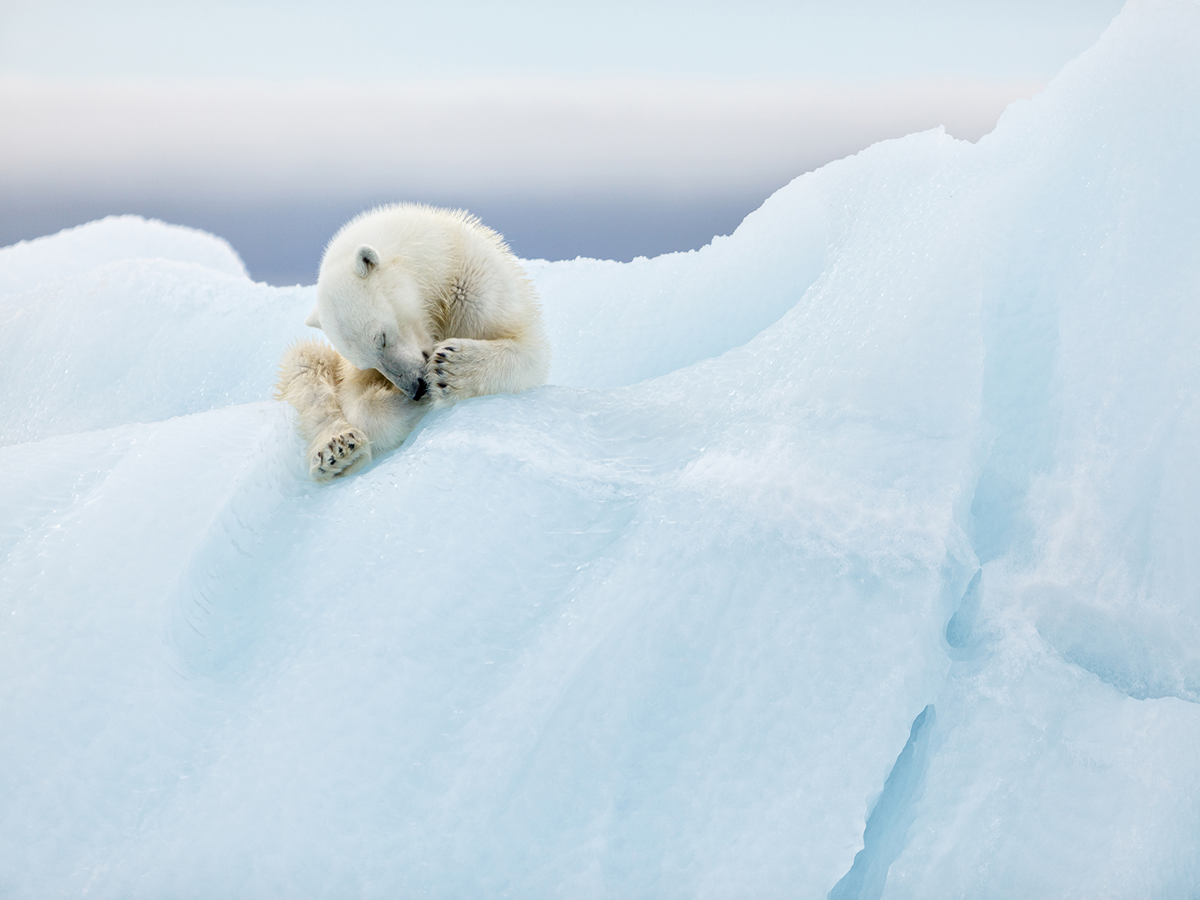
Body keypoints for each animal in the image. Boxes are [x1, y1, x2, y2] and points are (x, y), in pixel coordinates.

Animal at [275, 203, 550, 480]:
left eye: (382, 338)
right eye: (368, 363)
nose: (417, 389)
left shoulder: (477, 287)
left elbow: (529, 351)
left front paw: (449, 367)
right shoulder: (350, 369)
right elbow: (357, 402)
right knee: (305, 364)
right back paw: (337, 450)